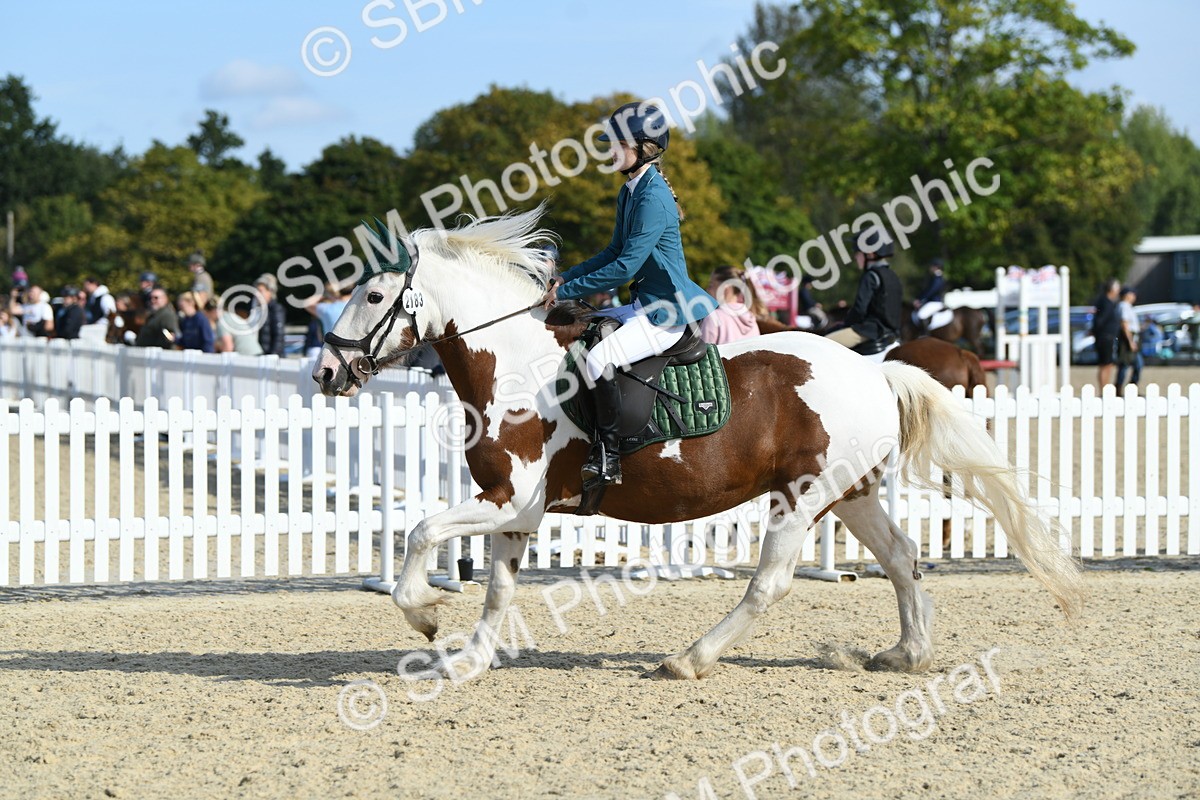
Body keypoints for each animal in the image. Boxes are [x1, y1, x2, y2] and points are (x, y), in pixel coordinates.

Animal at [313, 207, 1081, 681]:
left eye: (374, 296)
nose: (324, 372)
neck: (516, 366)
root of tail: (873, 369)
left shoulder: (507, 499)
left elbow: (421, 531)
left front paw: (421, 612)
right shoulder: (516, 511)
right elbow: (497, 589)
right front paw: (468, 660)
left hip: (802, 498)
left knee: (771, 582)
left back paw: (691, 658)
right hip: (851, 493)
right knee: (901, 556)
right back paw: (907, 653)